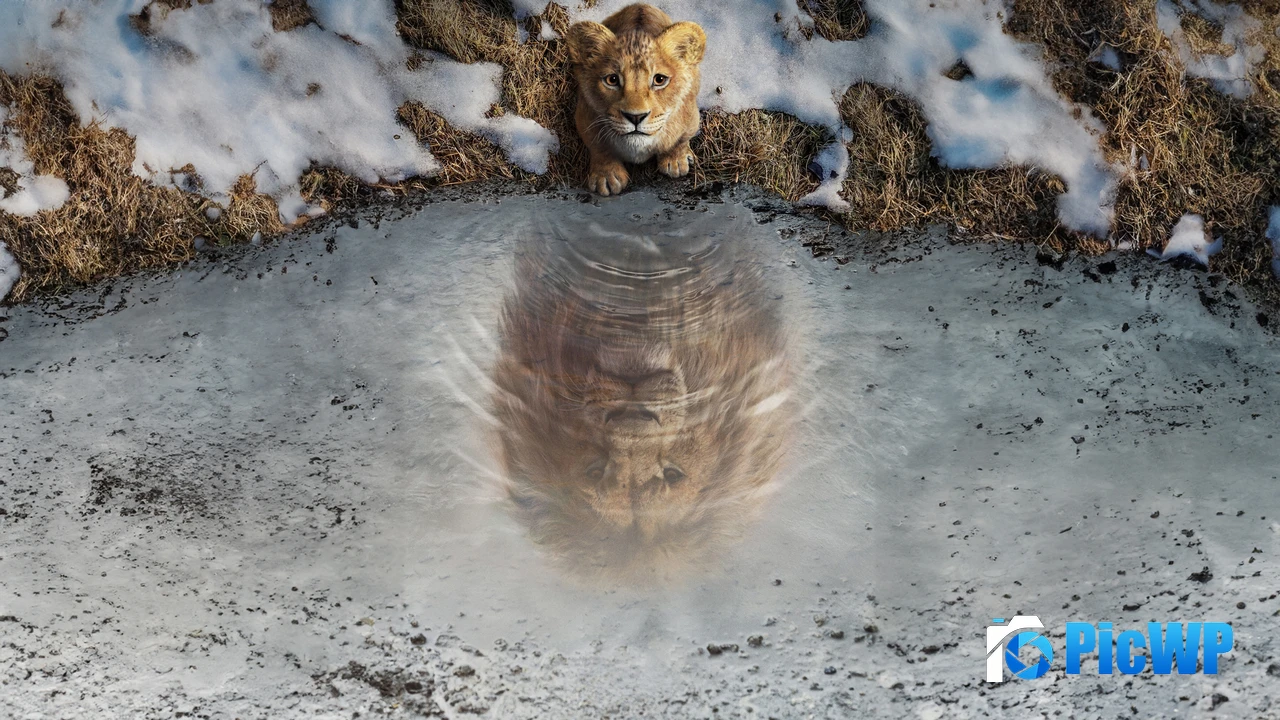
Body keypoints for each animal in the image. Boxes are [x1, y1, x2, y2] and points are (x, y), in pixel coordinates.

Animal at [566, 4, 707, 196]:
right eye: (612, 80)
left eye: (659, 80)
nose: (635, 117)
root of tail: (640, 5)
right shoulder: (584, 117)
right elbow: (599, 147)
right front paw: (607, 176)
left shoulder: (691, 117)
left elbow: (680, 140)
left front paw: (676, 161)